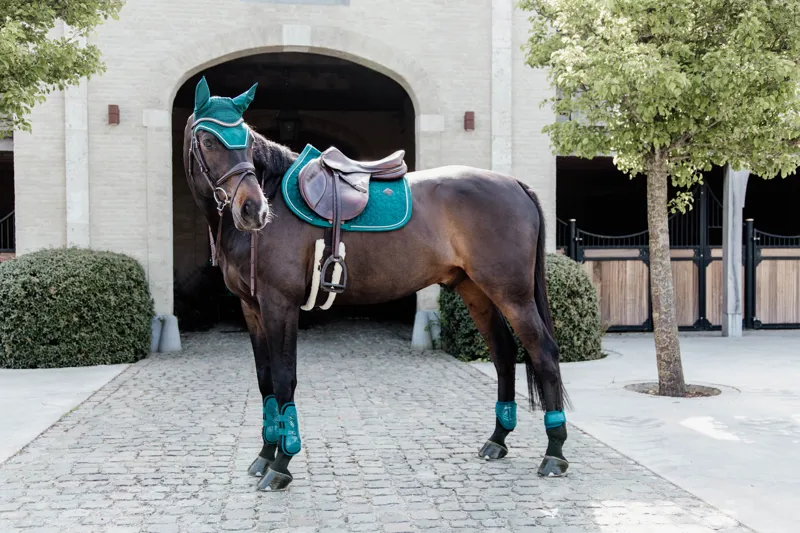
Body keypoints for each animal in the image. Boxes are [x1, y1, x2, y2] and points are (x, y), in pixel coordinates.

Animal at [183, 77, 570, 491]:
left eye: (246, 141)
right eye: (208, 140)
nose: (254, 210)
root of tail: (515, 183)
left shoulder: (279, 306)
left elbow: (285, 379)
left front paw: (281, 465)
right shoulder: (252, 309)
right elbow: (265, 382)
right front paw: (265, 455)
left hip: (513, 295)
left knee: (544, 353)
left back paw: (554, 454)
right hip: (477, 292)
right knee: (503, 354)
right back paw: (497, 440)